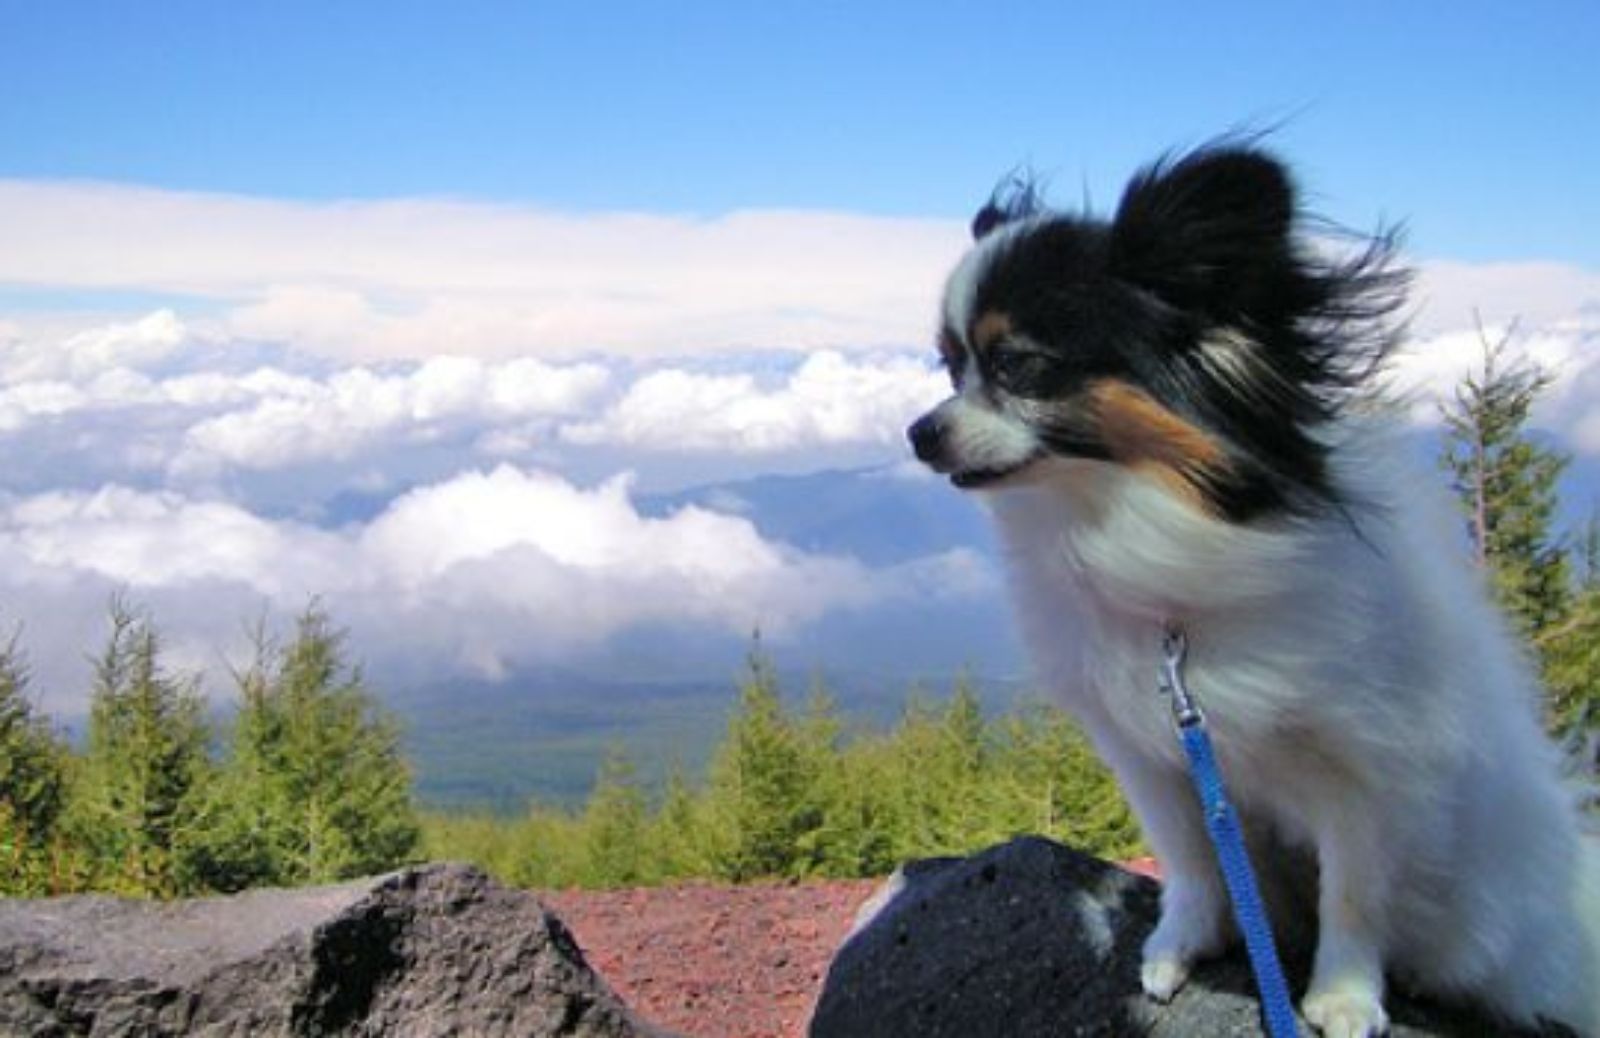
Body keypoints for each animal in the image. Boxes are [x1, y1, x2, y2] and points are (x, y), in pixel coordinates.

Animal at [915, 145, 1600, 1036]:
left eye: (1017, 365)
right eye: (949, 364)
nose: (919, 432)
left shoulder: (1371, 767)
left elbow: (1354, 891)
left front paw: (1343, 996)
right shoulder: (1152, 752)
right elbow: (1192, 861)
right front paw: (1182, 944)